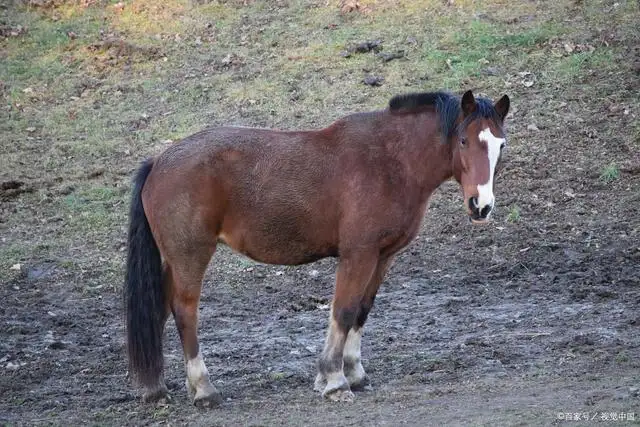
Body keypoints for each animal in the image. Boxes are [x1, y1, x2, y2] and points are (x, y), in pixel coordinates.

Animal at [124, 89, 510, 408]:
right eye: (463, 140)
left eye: (500, 145)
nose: (481, 206)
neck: (390, 160)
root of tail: (158, 161)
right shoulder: (358, 254)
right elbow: (344, 310)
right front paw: (335, 380)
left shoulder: (382, 257)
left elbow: (362, 311)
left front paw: (354, 374)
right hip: (190, 256)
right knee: (184, 311)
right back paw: (204, 389)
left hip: (172, 261)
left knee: (160, 309)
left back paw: (156, 388)